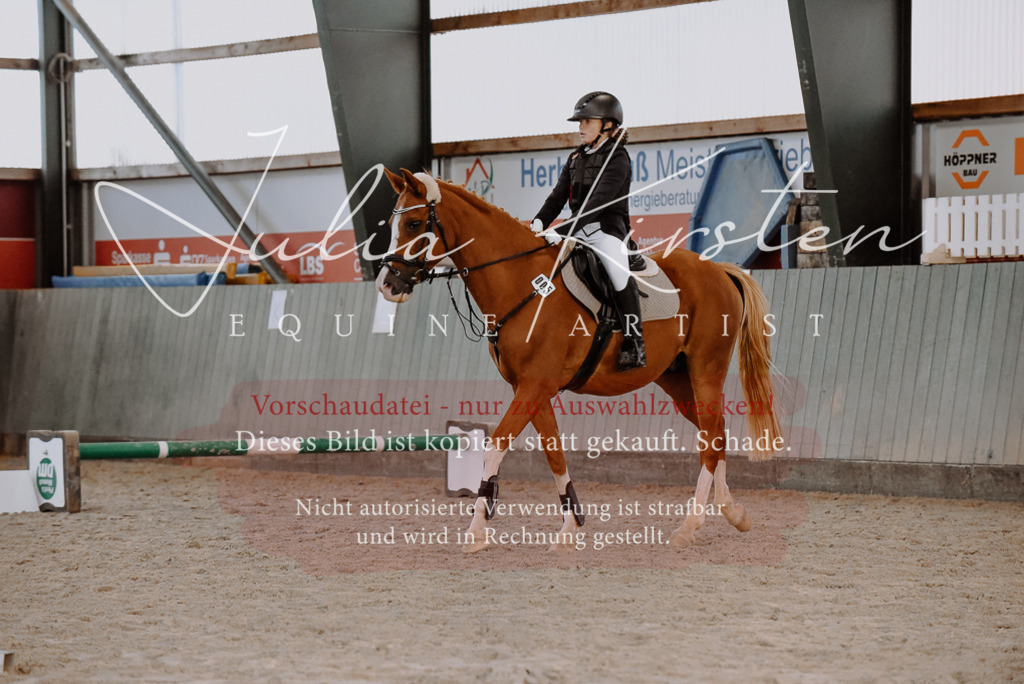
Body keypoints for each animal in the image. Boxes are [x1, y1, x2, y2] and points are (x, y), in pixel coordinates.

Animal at [377, 168, 782, 552]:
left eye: (414, 223)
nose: (387, 284)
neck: (523, 282)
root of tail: (719, 270)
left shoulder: (534, 385)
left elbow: (495, 447)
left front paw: (477, 532)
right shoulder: (533, 389)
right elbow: (554, 454)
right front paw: (570, 528)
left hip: (705, 370)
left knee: (711, 437)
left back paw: (690, 525)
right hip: (676, 378)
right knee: (716, 432)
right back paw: (733, 512)